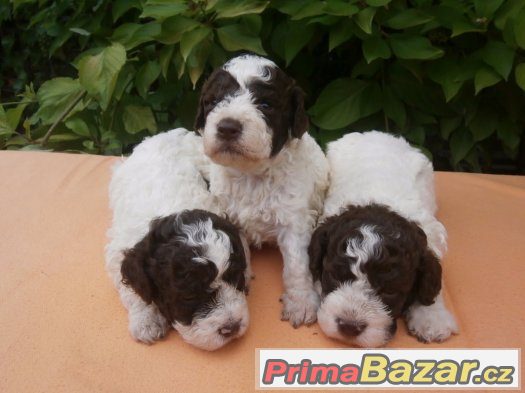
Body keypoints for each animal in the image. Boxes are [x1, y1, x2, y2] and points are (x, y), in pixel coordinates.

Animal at [105, 129, 251, 350]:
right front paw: (147, 321)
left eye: (235, 278)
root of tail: (163, 135)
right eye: (189, 296)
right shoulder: (119, 249)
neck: (173, 210)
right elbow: (134, 290)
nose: (231, 328)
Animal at [194, 53, 330, 326]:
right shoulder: (228, 214)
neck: (252, 174)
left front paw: (300, 305)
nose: (227, 127)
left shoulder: (294, 220)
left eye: (266, 105)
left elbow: (297, 265)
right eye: (213, 101)